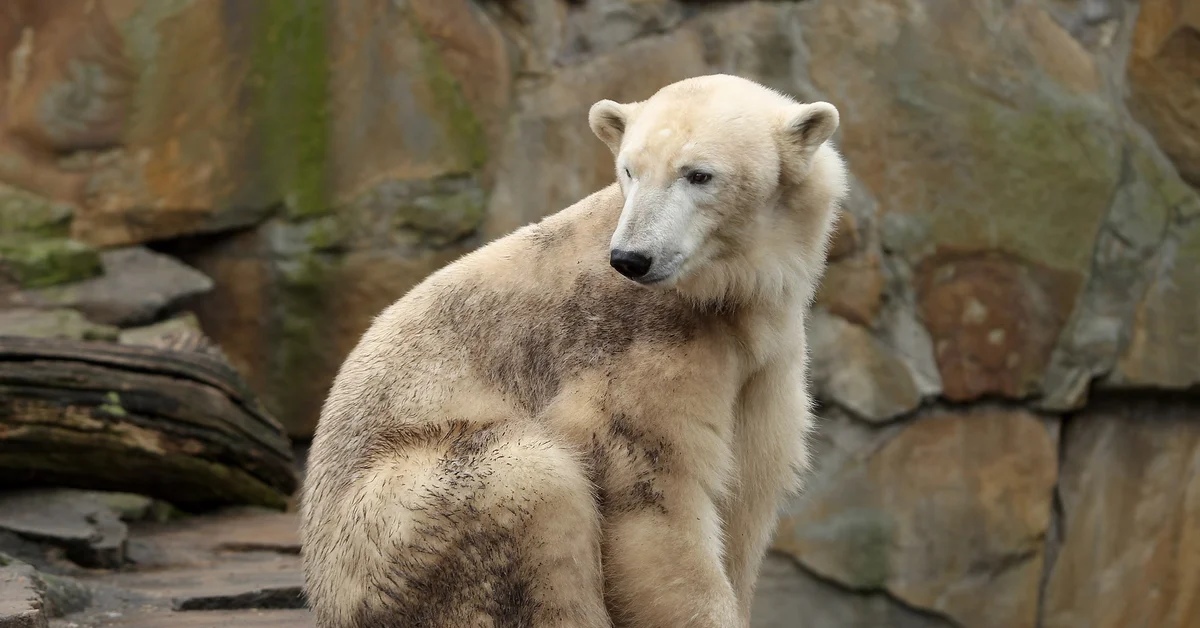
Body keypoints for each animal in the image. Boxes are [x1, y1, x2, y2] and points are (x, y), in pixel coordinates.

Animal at [296, 75, 849, 628]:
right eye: (629, 169)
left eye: (698, 174)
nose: (631, 258)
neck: (728, 292)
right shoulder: (635, 343)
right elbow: (653, 493)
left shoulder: (762, 360)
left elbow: (746, 495)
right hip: (392, 530)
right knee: (531, 482)